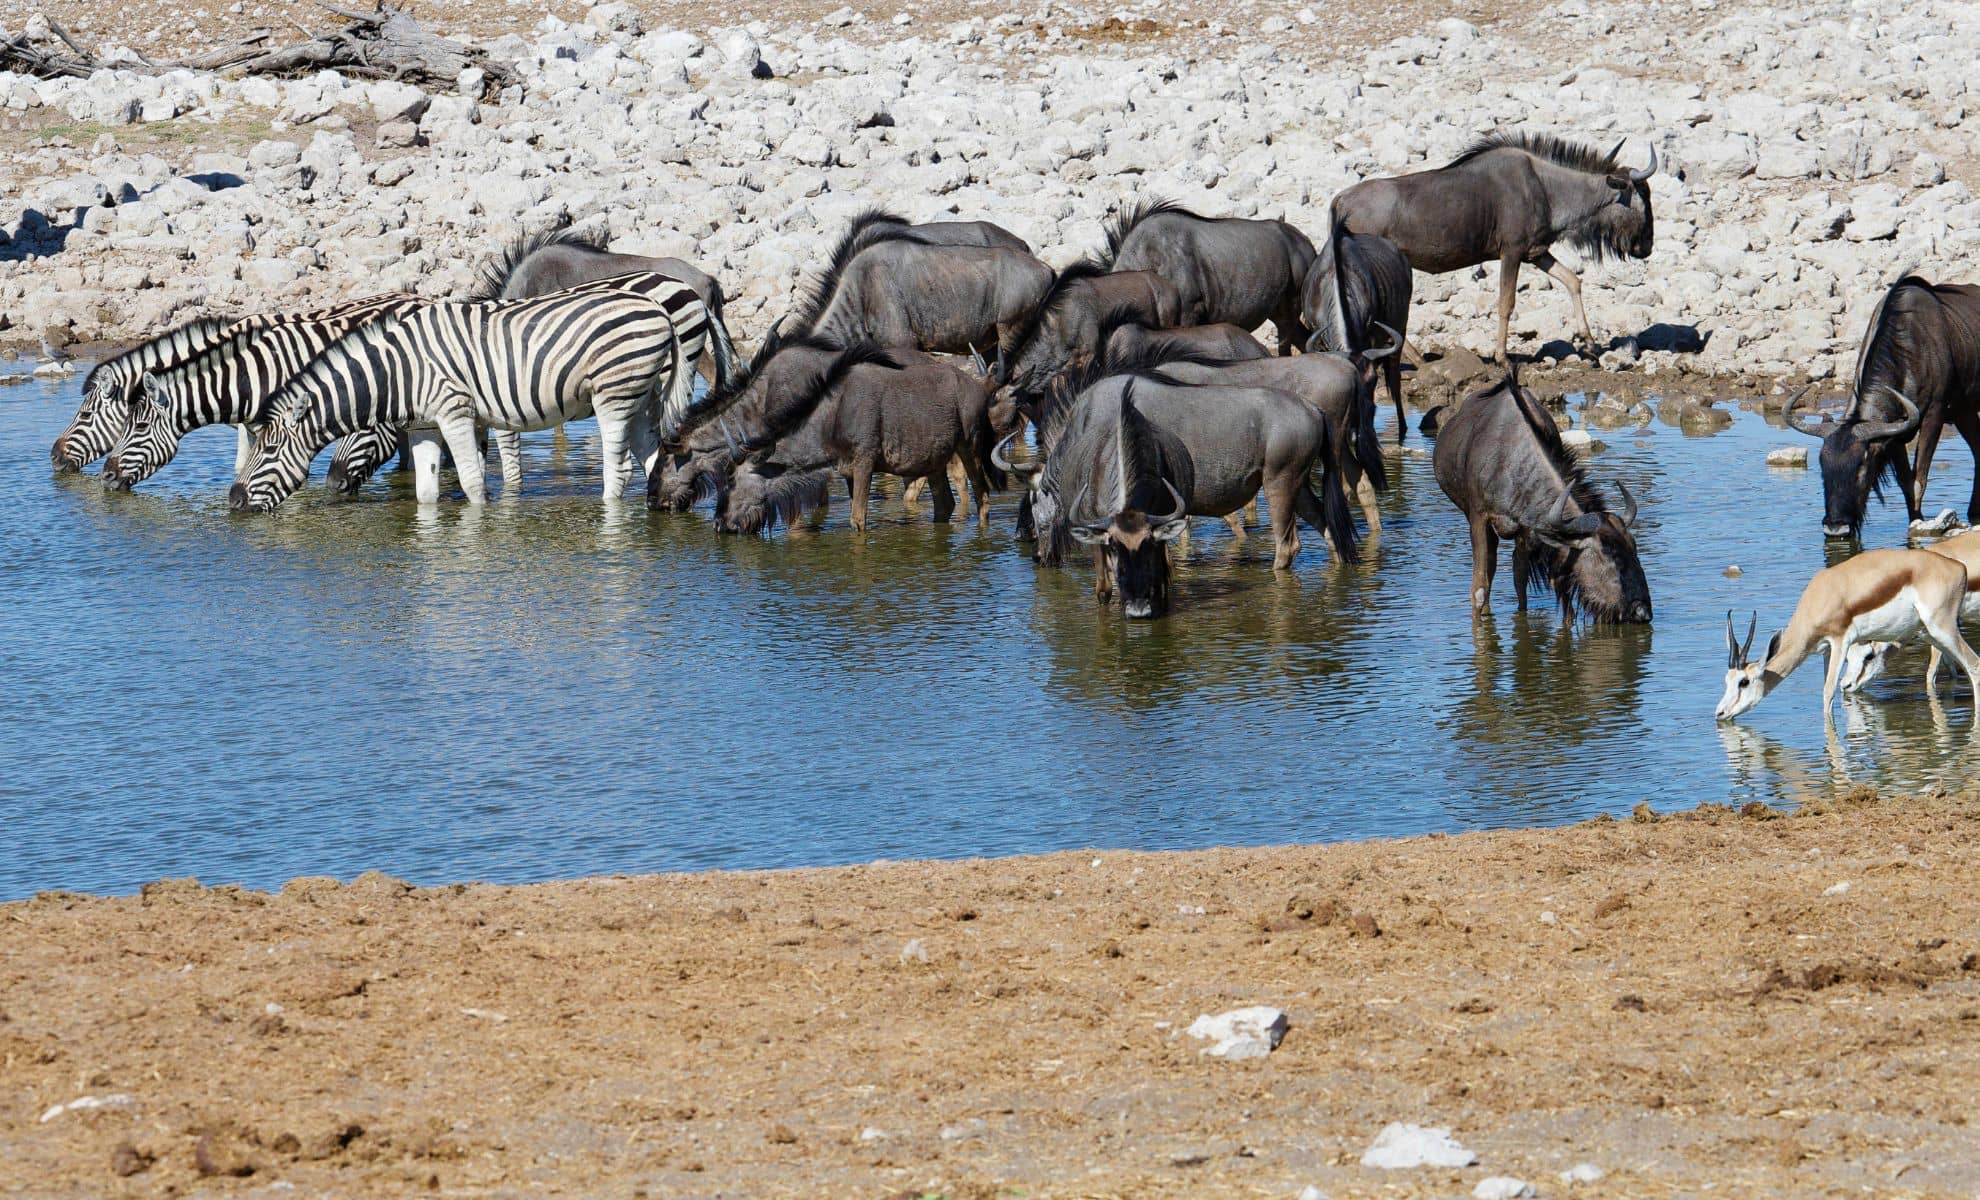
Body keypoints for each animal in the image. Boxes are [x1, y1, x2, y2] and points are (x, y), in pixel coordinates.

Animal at [227, 293, 681, 518]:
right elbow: (426, 493)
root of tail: (658, 309)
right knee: (656, 459)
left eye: (269, 449)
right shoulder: (425, 426)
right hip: (641, 399)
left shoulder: (456, 412)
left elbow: (472, 483)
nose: (233, 501)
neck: (400, 370)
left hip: (614, 394)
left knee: (618, 471)